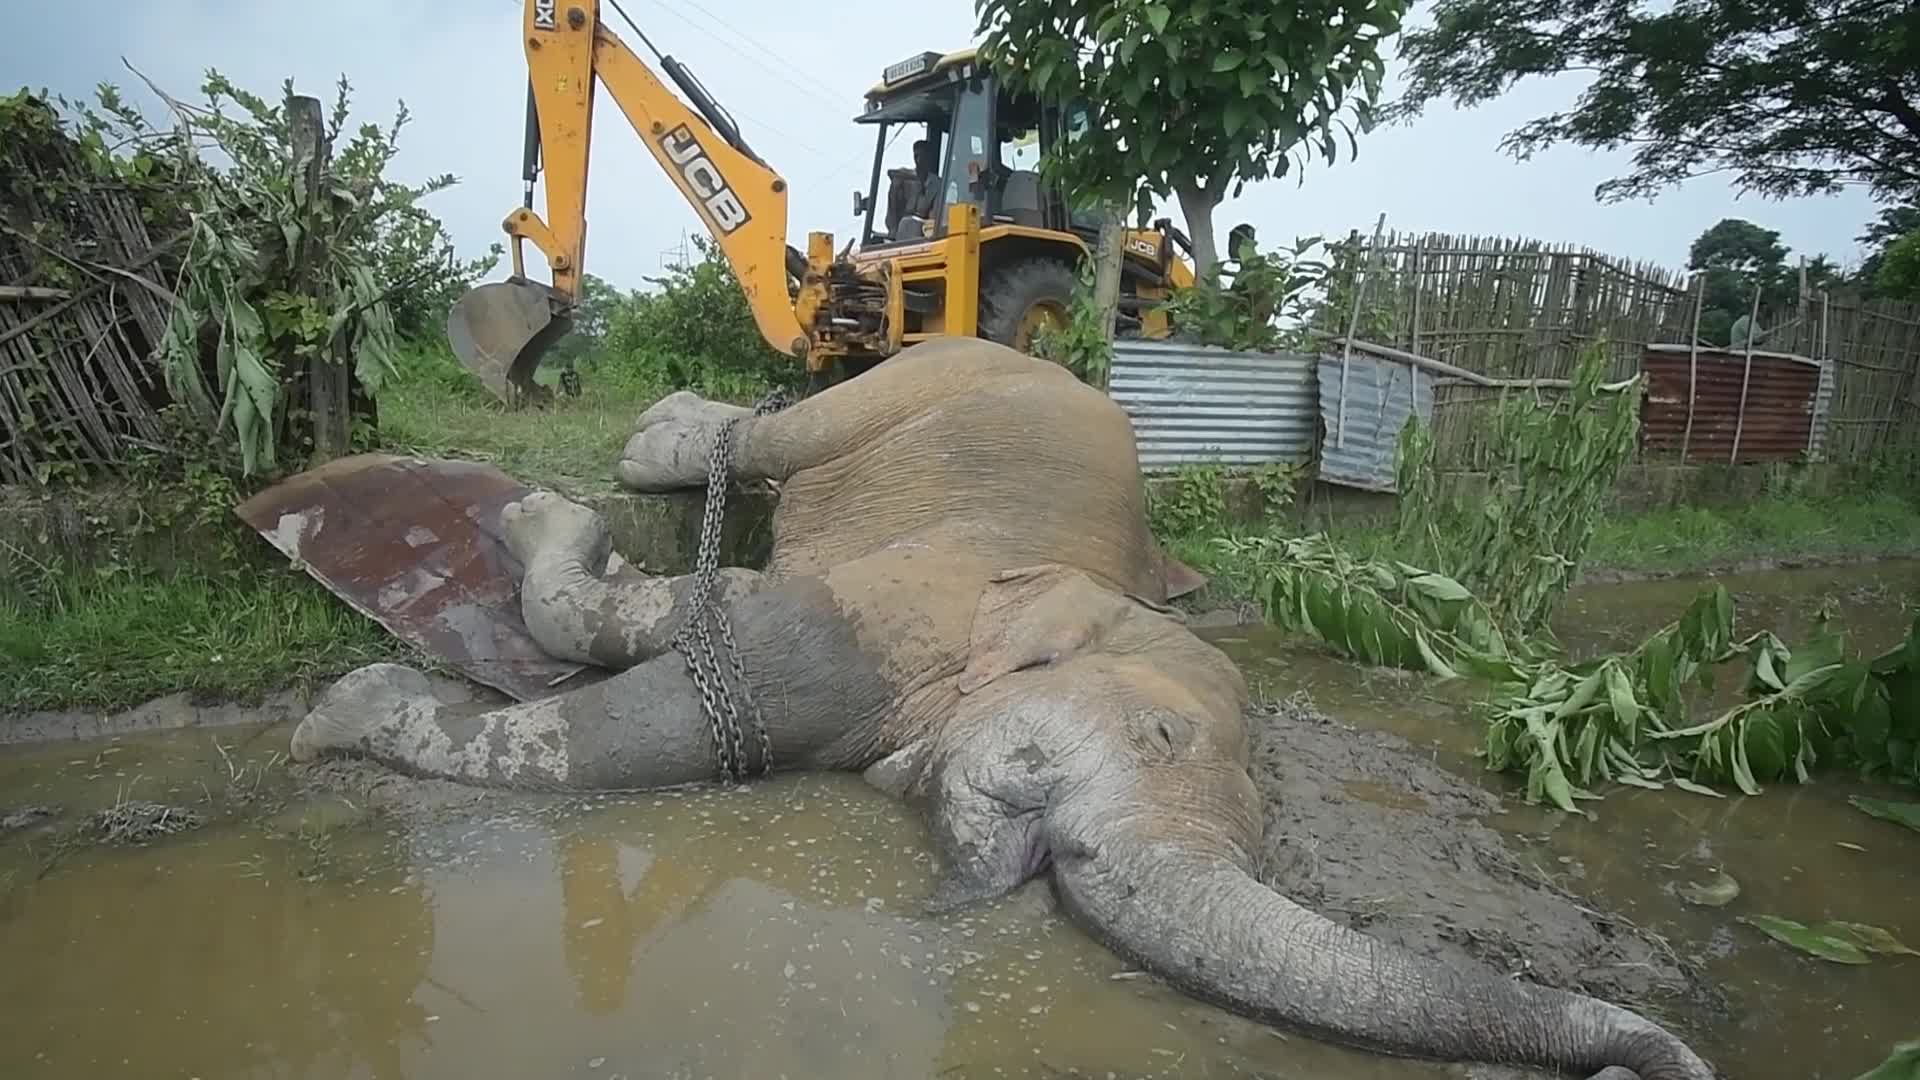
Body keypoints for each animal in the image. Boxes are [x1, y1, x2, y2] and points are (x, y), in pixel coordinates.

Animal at [291, 337, 1713, 1080]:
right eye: (1161, 736)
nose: (1644, 1065)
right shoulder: (879, 613)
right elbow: (648, 688)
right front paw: (341, 714)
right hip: (934, 374)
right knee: (787, 429)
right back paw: (659, 441)